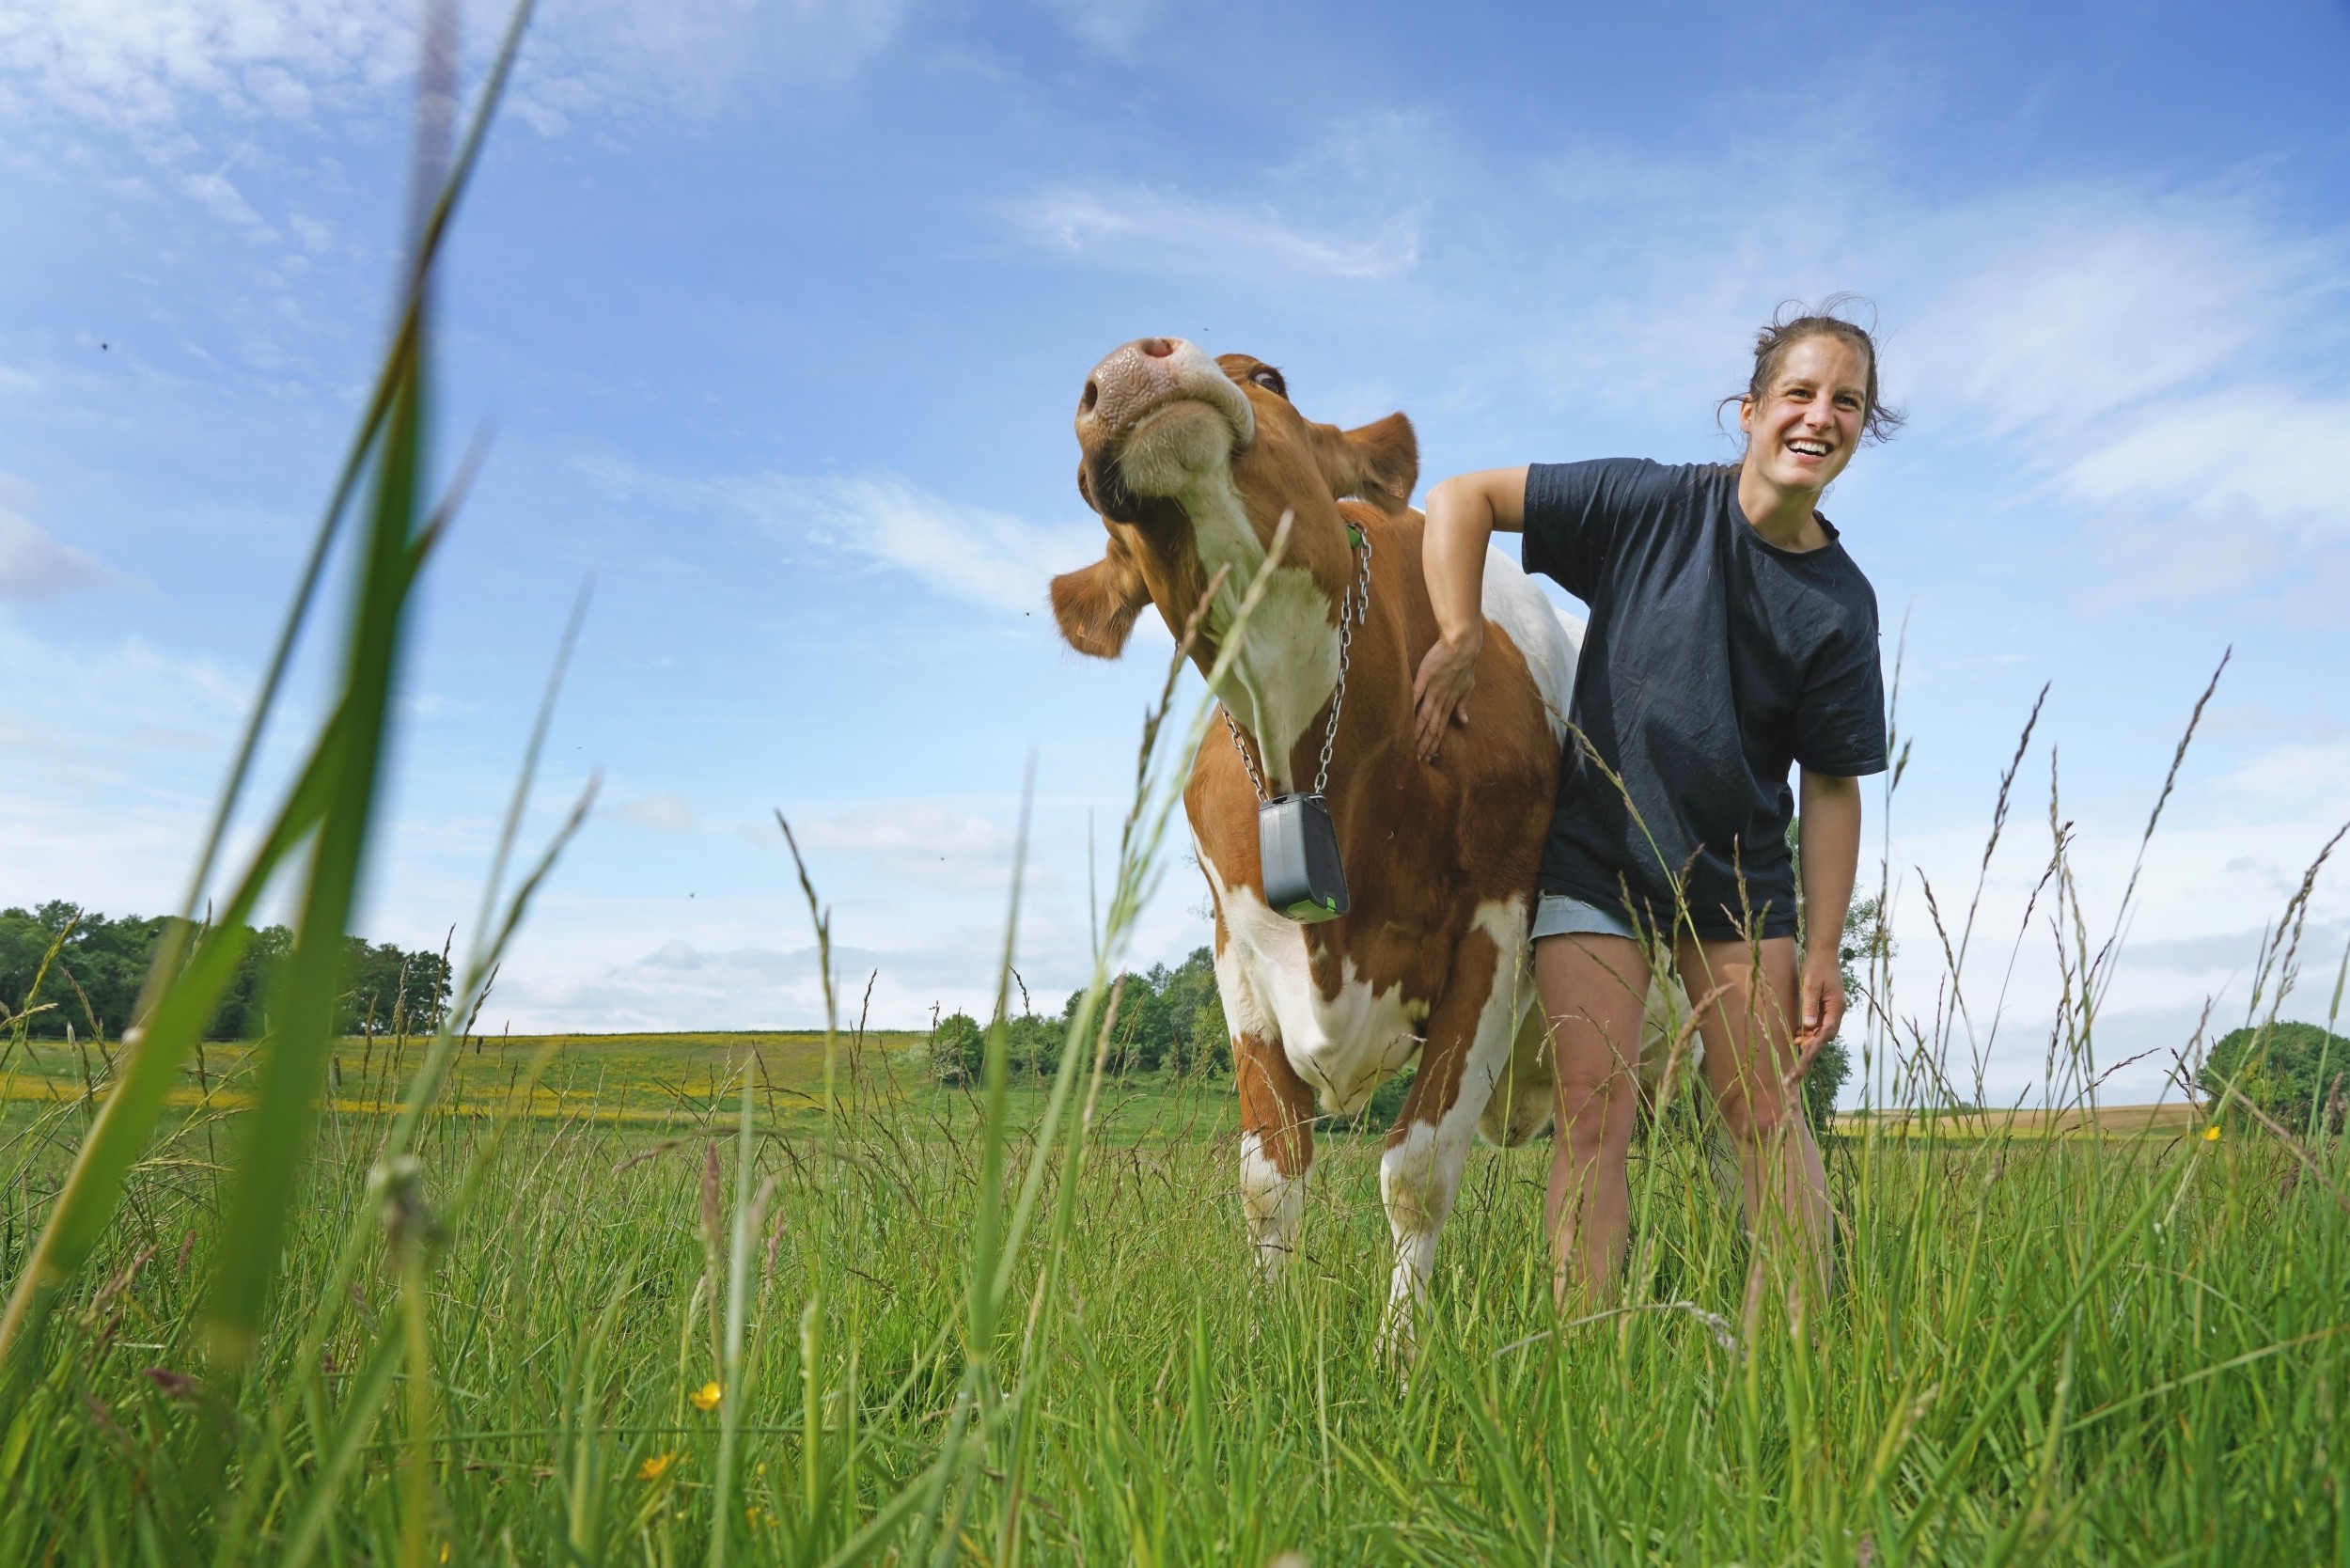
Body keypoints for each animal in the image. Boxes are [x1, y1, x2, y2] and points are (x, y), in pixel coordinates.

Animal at [1048, 334, 1654, 1354]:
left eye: (1269, 378)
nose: (1130, 365)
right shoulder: (1238, 952)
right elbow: (1268, 1178)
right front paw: (1264, 1340)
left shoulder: (1494, 932)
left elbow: (1415, 1172)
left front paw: (1399, 1355)